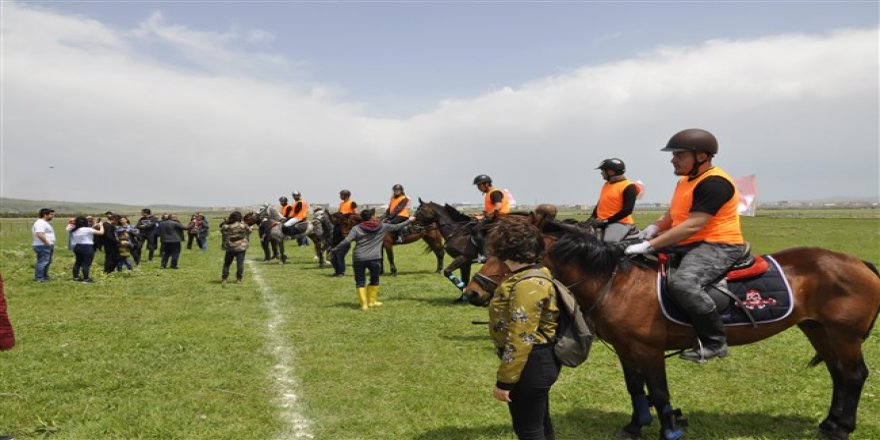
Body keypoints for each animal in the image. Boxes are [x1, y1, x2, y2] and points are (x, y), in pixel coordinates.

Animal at [464, 222, 876, 440]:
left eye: (508, 251)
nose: (474, 292)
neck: (618, 280)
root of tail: (859, 262)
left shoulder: (648, 349)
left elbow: (659, 392)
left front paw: (668, 429)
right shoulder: (626, 349)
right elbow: (635, 388)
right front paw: (635, 425)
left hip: (843, 335)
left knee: (854, 375)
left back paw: (843, 427)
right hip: (818, 329)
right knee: (839, 375)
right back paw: (830, 422)